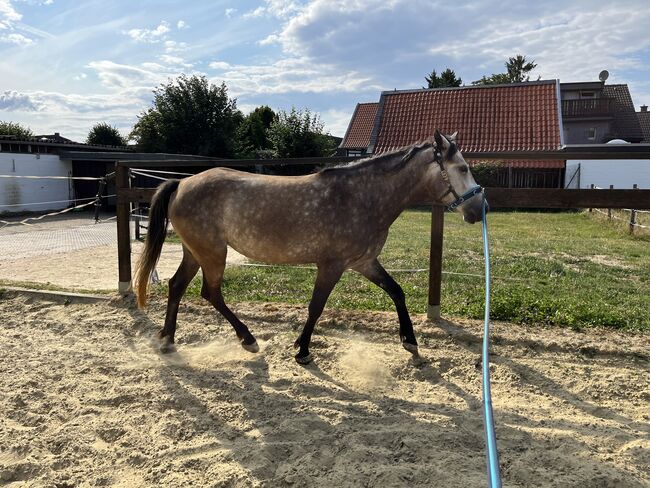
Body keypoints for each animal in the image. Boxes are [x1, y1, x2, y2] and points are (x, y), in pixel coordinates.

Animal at [134, 132, 484, 364]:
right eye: (463, 168)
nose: (479, 209)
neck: (362, 197)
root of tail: (181, 183)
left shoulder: (364, 262)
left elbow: (396, 291)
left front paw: (409, 341)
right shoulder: (332, 265)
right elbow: (316, 306)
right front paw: (302, 350)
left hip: (195, 252)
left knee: (177, 285)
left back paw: (168, 340)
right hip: (212, 254)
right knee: (210, 293)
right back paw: (248, 340)